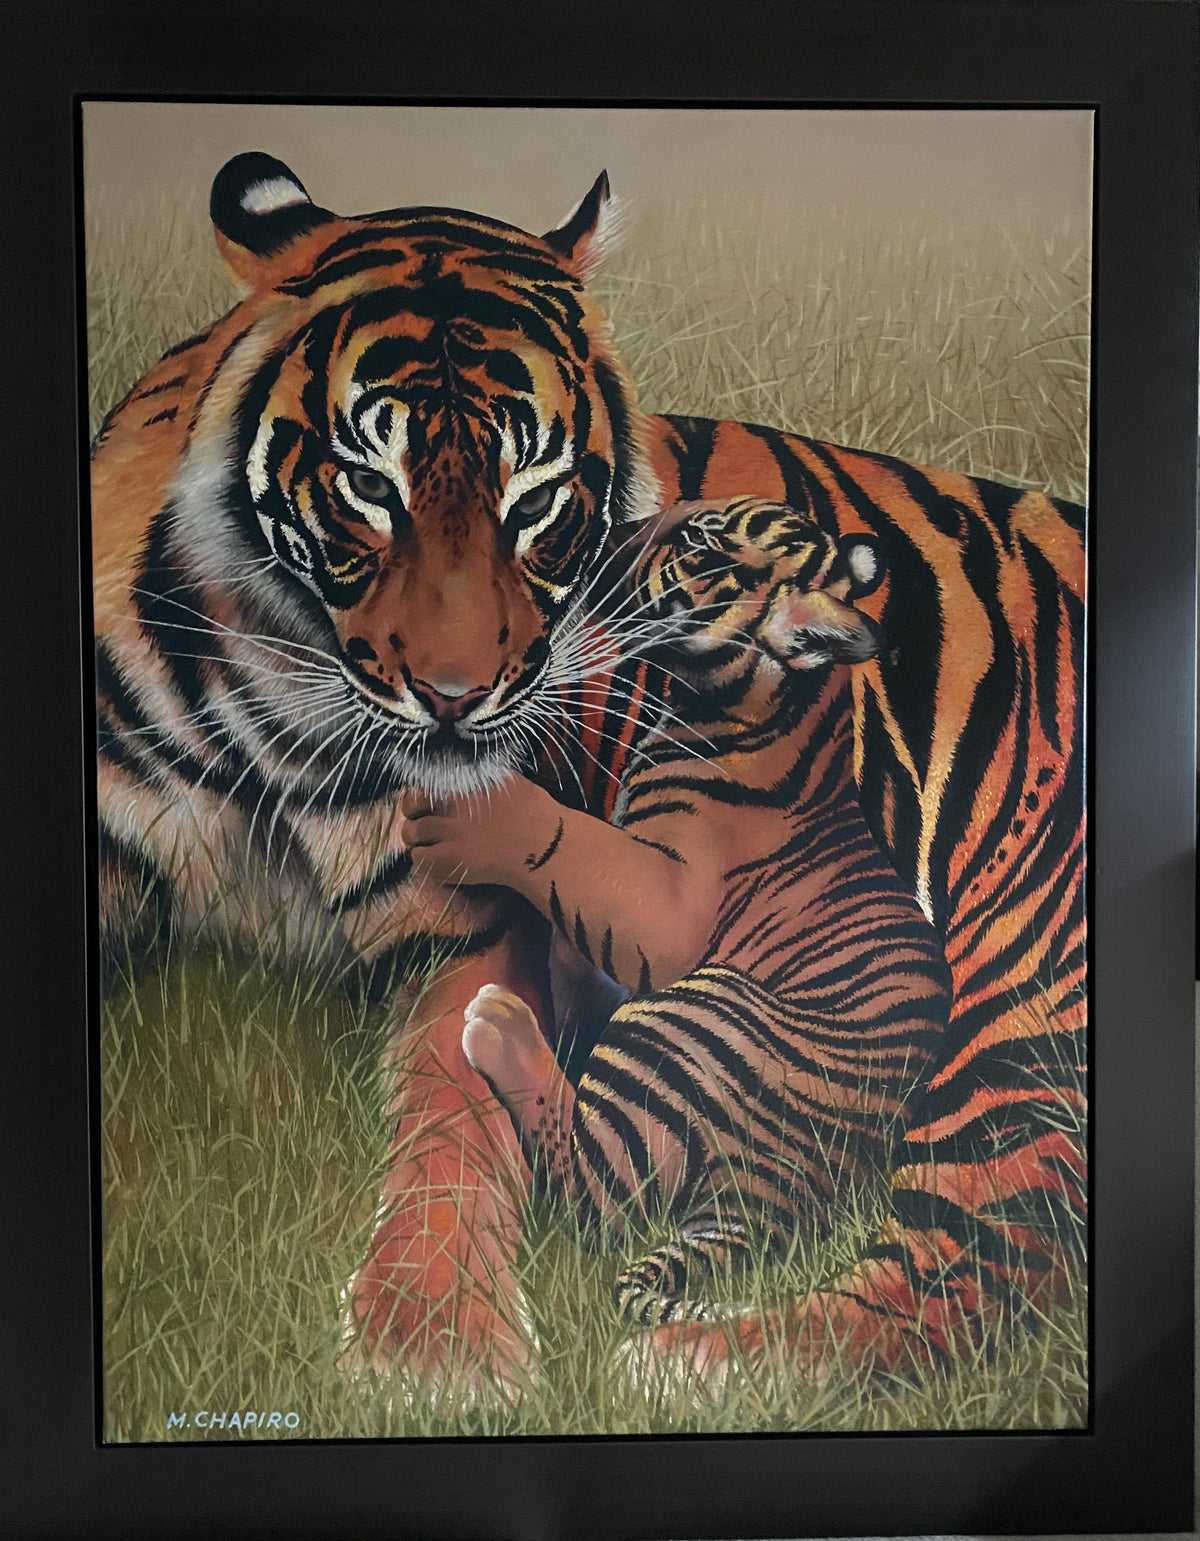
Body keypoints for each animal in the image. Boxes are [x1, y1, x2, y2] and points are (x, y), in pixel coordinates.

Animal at [408, 494, 954, 1329]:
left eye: (697, 543)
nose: (596, 543)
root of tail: (790, 1193)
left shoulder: (667, 907)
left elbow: (570, 846)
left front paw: (472, 808)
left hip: (694, 1015)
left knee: (593, 1197)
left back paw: (502, 1027)